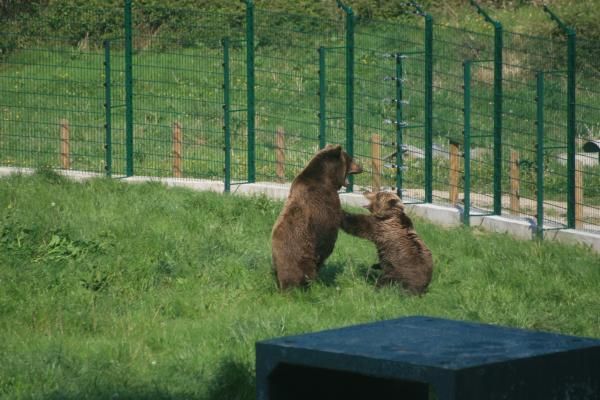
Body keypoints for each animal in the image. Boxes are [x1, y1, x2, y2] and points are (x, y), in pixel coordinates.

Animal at [270, 145, 360, 290]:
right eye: (350, 159)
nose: (361, 167)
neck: (328, 177)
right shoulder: (326, 203)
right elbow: (328, 237)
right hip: (302, 256)